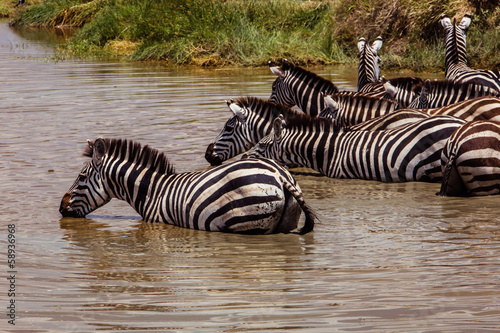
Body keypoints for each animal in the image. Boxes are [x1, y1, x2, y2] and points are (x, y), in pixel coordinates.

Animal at [60, 137, 314, 233]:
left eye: (81, 177)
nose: (61, 208)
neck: (152, 191)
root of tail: (280, 175)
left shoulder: (156, 223)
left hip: (248, 224)